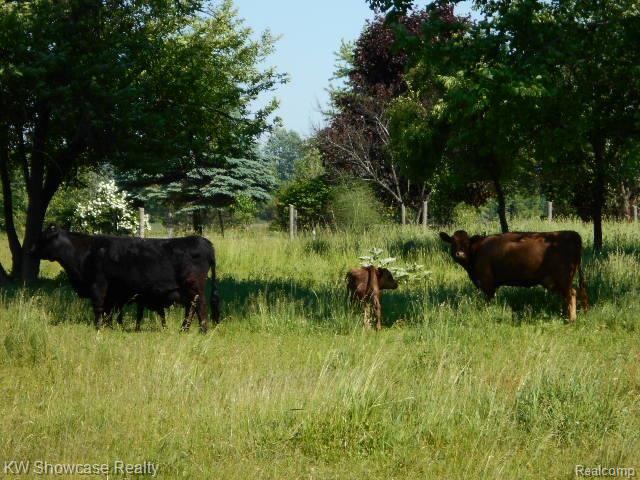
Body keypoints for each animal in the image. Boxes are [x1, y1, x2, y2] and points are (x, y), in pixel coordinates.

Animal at [31, 225, 220, 332]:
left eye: (42, 239)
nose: (30, 250)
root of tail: (204, 241)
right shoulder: (112, 292)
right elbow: (108, 311)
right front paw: (108, 327)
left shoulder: (98, 285)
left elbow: (98, 307)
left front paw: (98, 328)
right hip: (186, 290)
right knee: (191, 308)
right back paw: (184, 330)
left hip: (193, 286)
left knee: (200, 306)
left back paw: (202, 330)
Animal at [439, 230, 588, 321]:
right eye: (453, 242)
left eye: (467, 243)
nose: (460, 254)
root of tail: (572, 234)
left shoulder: (487, 282)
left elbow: (488, 301)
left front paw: (486, 312)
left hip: (563, 278)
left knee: (571, 294)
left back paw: (571, 319)